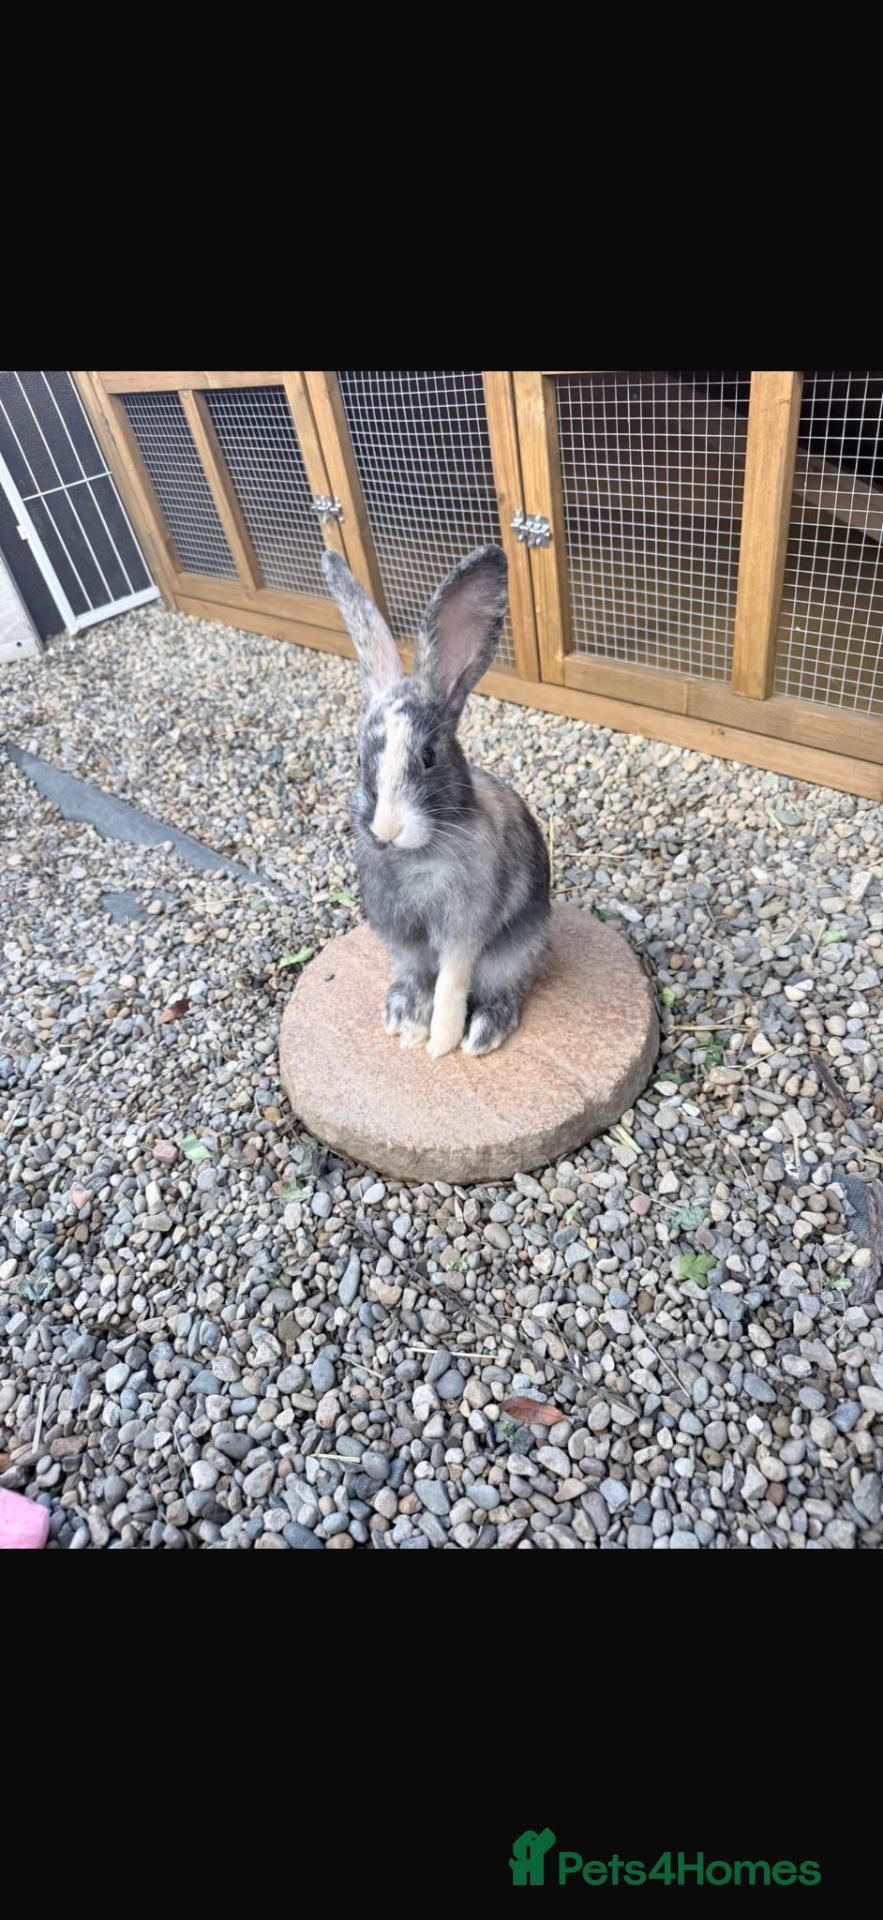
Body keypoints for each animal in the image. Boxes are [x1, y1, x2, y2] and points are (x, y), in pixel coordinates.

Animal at [321, 544, 551, 1059]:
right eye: (359, 757)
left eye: (428, 755)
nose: (386, 830)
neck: (416, 857)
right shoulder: (402, 935)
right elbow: (419, 976)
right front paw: (408, 1027)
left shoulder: (464, 929)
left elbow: (451, 982)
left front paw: (442, 1045)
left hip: (517, 952)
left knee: (508, 989)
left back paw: (483, 1032)